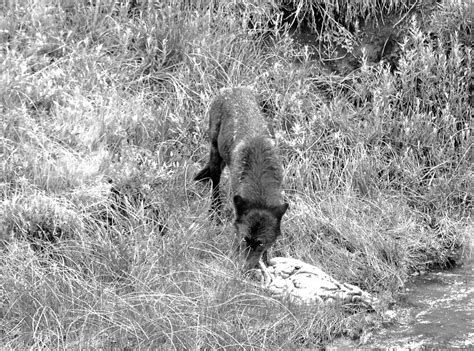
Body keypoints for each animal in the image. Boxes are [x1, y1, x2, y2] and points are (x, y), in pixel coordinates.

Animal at [193, 88, 288, 272]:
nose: (244, 268)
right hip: (216, 156)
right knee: (215, 186)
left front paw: (265, 261)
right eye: (245, 239)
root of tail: (232, 89)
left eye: (260, 244)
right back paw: (214, 213)